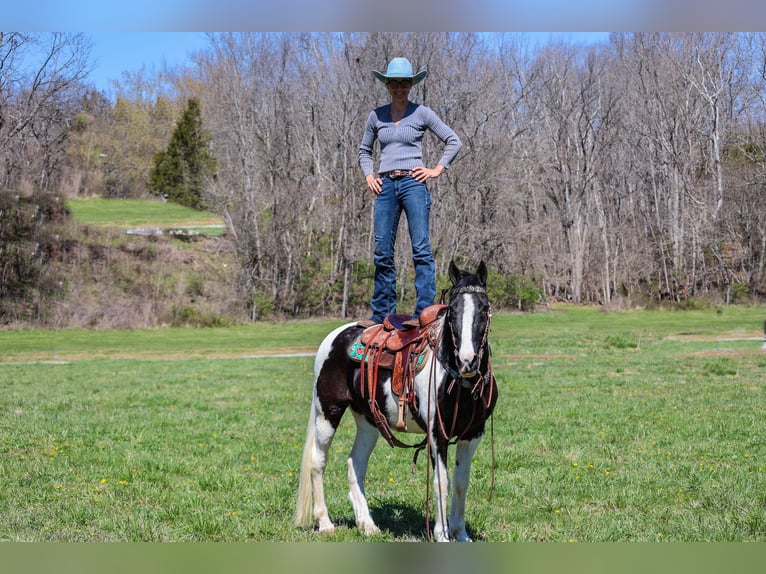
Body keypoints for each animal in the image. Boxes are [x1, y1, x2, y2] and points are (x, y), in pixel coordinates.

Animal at [294, 264, 498, 544]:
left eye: (485, 308)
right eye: (452, 310)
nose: (467, 360)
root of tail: (336, 336)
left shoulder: (473, 433)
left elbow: (460, 482)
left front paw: (461, 533)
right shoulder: (437, 435)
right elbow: (441, 483)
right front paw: (442, 535)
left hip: (368, 421)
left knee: (355, 464)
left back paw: (367, 525)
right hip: (328, 413)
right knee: (317, 462)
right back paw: (325, 524)